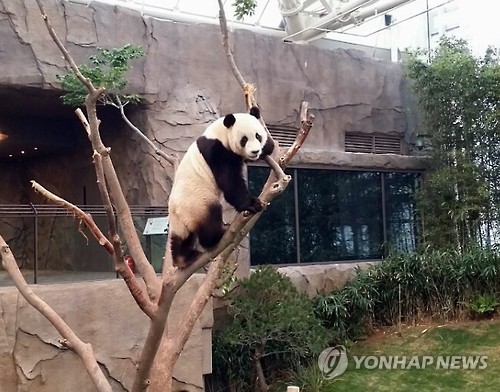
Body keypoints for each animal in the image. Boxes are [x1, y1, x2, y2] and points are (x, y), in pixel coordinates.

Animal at [168, 105, 274, 268]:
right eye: (244, 139)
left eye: (258, 136)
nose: (255, 151)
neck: (220, 133)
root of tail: (176, 212)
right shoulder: (217, 151)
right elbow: (229, 181)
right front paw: (251, 203)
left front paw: (269, 146)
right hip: (197, 201)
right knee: (211, 214)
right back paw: (216, 237)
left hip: (183, 219)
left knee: (184, 237)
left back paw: (183, 257)